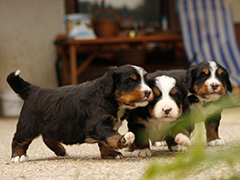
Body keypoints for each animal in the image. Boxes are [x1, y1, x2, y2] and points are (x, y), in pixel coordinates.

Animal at [7, 64, 154, 162]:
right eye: (130, 81)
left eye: (147, 81)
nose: (148, 92)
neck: (108, 97)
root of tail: (33, 89)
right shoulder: (98, 123)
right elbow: (110, 135)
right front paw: (124, 139)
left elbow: (105, 141)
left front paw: (110, 154)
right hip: (28, 125)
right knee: (18, 140)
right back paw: (18, 156)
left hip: (53, 124)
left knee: (47, 137)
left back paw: (61, 150)